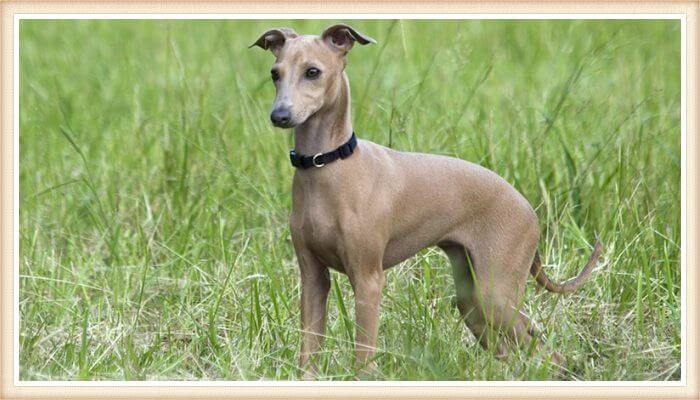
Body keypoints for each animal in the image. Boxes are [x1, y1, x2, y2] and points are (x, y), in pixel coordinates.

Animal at [250, 23, 600, 380]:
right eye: (275, 73)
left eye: (313, 72)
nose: (279, 115)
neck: (327, 165)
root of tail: (528, 208)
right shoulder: (313, 278)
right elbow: (308, 351)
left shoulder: (368, 279)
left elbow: (364, 355)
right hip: (473, 301)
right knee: (518, 348)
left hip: (495, 294)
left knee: (545, 351)